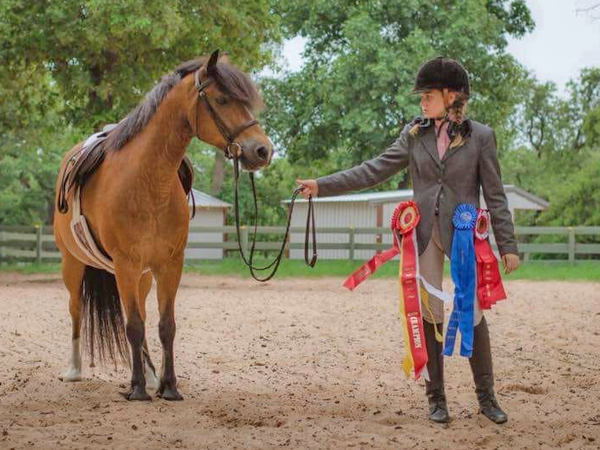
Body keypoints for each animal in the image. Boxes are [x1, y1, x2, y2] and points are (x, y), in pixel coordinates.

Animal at [54, 50, 274, 400]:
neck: (147, 180)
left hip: (142, 276)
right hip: (74, 264)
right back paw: (74, 370)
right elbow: (132, 326)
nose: (262, 150)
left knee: (141, 316)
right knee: (76, 310)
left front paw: (168, 385)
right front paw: (137, 389)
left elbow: (164, 326)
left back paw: (150, 373)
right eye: (222, 99)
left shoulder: (168, 264)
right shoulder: (126, 264)